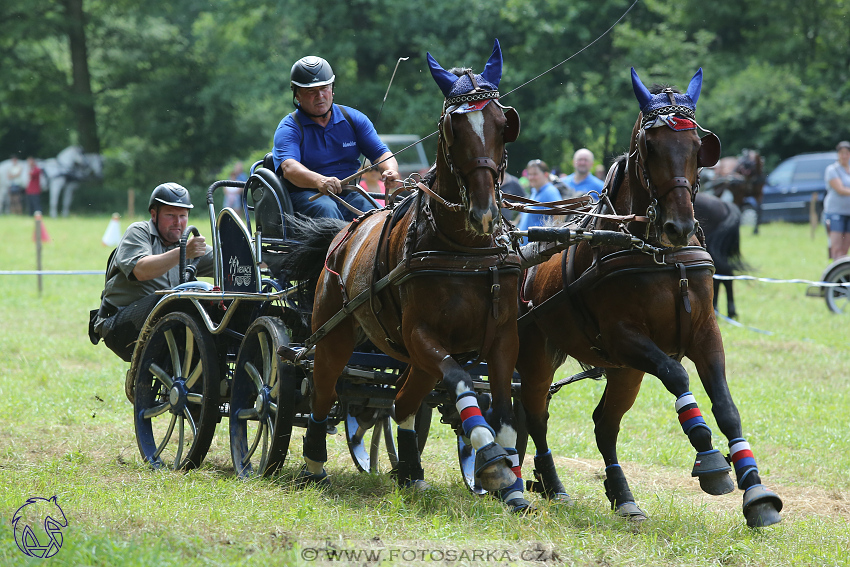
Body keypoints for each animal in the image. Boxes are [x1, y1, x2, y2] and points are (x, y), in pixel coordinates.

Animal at [510, 70, 780, 528]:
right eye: (650, 147)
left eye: (698, 148)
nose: (679, 225)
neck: (662, 256)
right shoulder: (624, 338)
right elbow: (677, 375)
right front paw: (709, 457)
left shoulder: (703, 333)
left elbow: (726, 405)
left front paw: (755, 490)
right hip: (537, 353)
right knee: (533, 414)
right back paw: (548, 482)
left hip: (623, 371)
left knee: (603, 425)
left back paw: (622, 496)